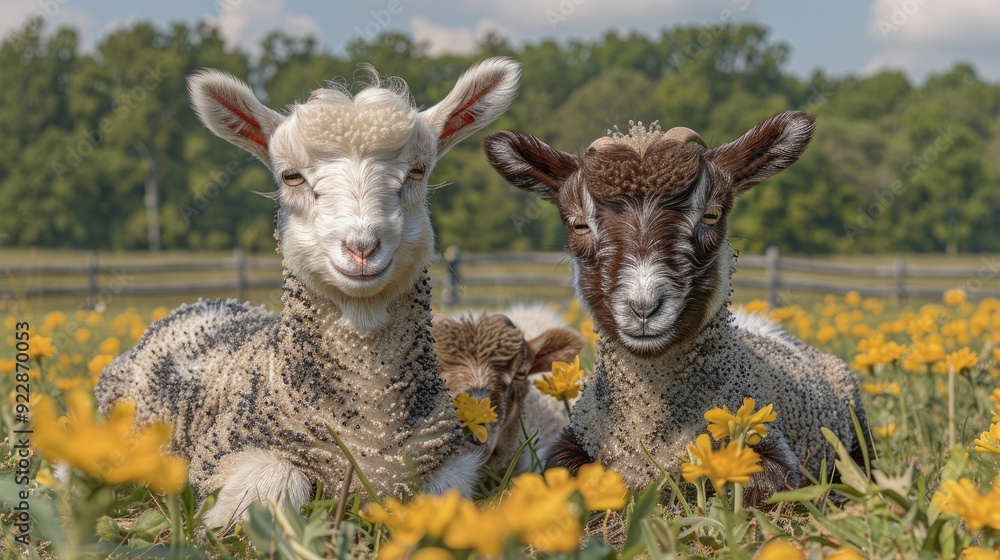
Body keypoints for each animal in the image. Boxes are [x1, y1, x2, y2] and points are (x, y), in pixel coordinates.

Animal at [94, 57, 520, 528]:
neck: (370, 427)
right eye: (291, 176)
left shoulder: (450, 463)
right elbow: (272, 489)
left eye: (418, 171)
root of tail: (201, 306)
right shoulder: (222, 454)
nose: (361, 248)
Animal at [482, 112, 872, 504]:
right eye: (578, 223)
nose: (643, 307)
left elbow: (761, 485)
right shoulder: (574, 441)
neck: (650, 434)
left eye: (712, 214)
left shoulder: (764, 442)